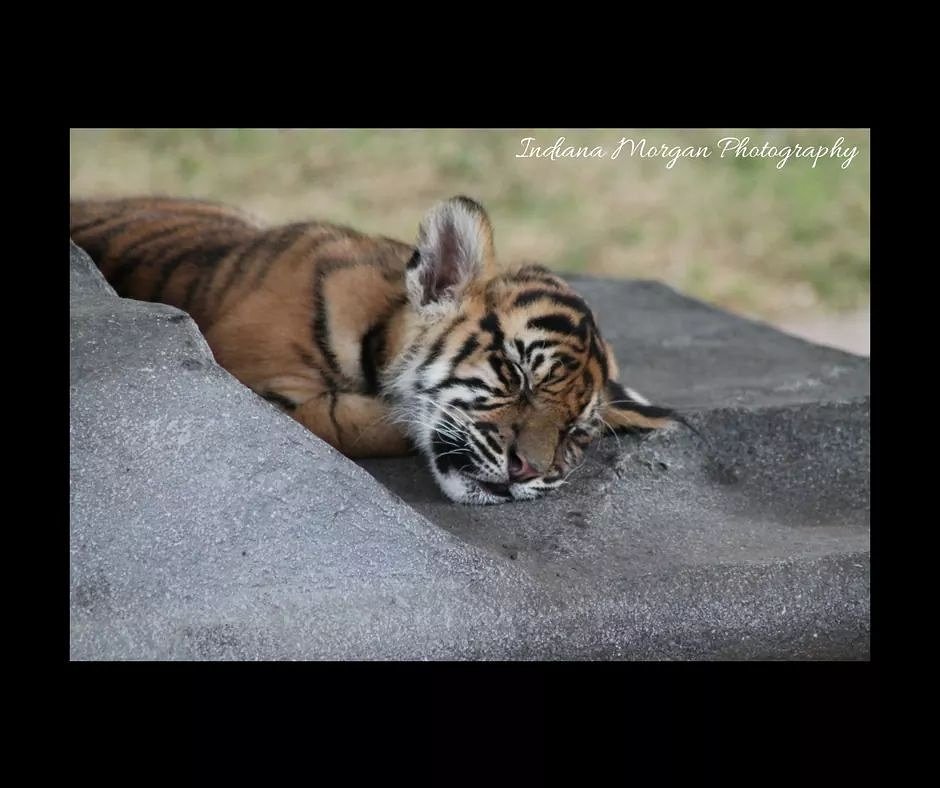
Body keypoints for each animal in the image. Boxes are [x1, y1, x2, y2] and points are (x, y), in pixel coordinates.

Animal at [69, 194, 677, 505]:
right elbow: (376, 421)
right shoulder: (263, 387)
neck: (381, 321)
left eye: (576, 433)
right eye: (514, 372)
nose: (530, 472)